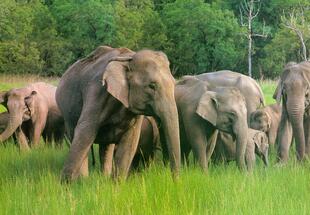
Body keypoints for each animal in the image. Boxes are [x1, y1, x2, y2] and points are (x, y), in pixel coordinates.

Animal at [57, 45, 180, 181]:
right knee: (77, 136)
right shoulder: (98, 92)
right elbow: (84, 133)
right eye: (151, 86)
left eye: (174, 84)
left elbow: (130, 142)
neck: (129, 58)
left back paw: (104, 178)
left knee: (106, 147)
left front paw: (116, 184)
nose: (175, 181)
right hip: (67, 112)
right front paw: (67, 184)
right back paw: (84, 179)